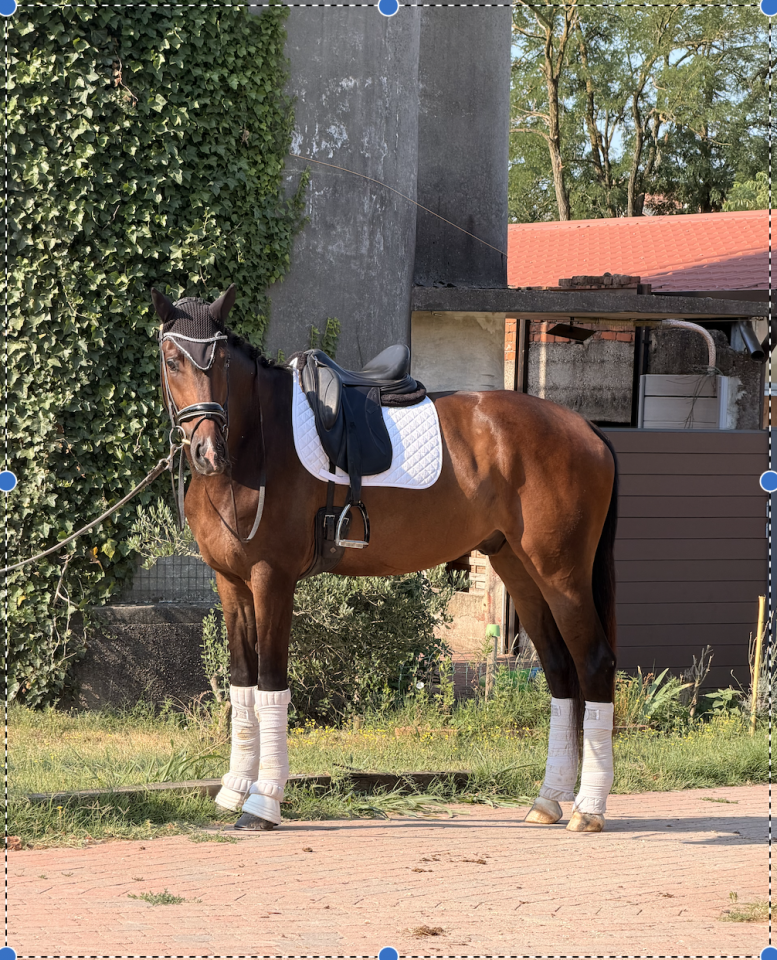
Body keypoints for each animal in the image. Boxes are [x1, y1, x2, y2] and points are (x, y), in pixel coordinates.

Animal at [151, 283, 619, 834]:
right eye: (172, 359)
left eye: (221, 360)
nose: (207, 451)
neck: (256, 447)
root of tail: (585, 428)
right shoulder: (231, 582)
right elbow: (242, 684)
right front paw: (233, 791)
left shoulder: (272, 579)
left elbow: (270, 684)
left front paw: (263, 803)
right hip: (519, 569)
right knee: (560, 672)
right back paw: (548, 801)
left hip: (560, 572)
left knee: (594, 664)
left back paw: (588, 809)